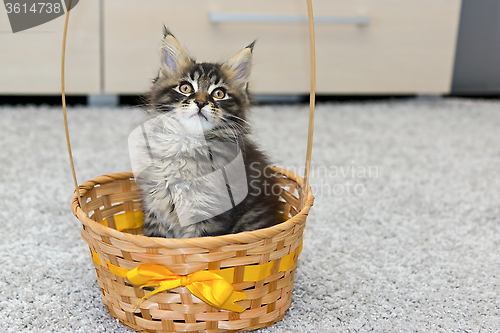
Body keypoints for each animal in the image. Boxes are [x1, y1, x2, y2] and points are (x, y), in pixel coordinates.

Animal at [137, 27, 284, 237]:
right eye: (185, 88)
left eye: (218, 94)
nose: (200, 102)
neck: (188, 144)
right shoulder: (155, 210)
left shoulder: (209, 215)